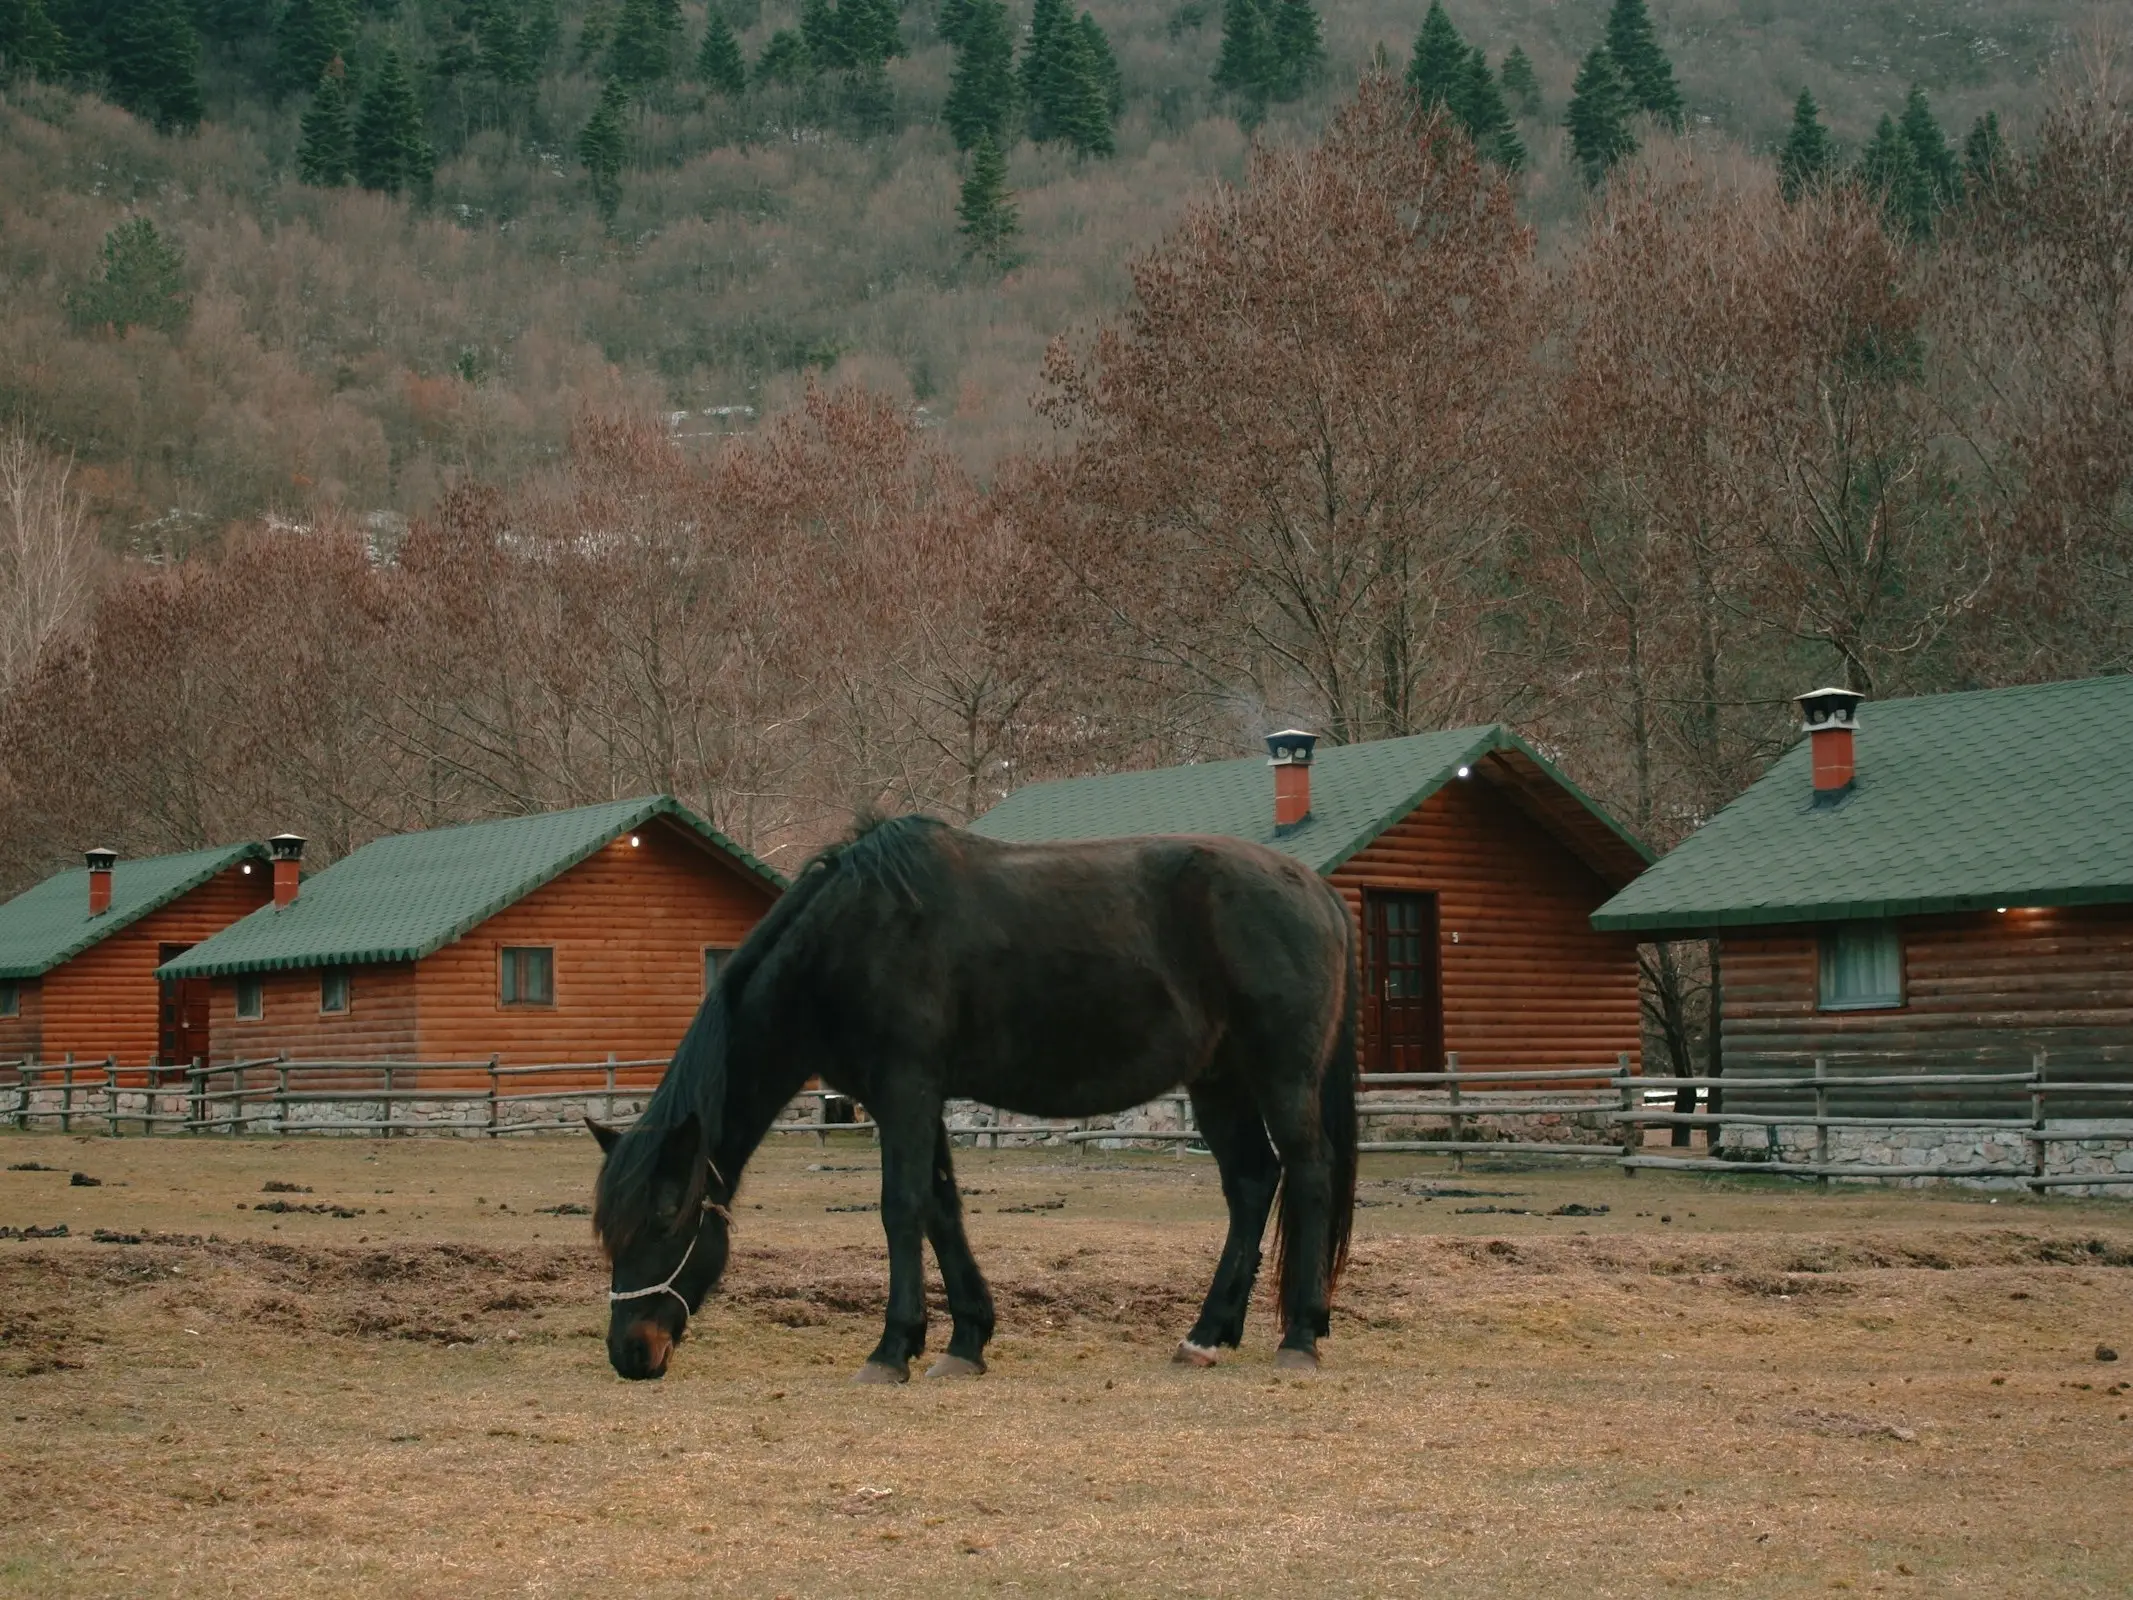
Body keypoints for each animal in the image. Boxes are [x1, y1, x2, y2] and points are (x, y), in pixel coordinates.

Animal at [588, 819, 1348, 1382]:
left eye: (665, 1221)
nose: (631, 1352)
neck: (850, 941)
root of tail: (1314, 889)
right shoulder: (911, 1100)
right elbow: (941, 1207)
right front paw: (965, 1341)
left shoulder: (907, 1090)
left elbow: (902, 1208)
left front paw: (892, 1348)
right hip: (1218, 1080)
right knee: (1252, 1184)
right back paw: (1206, 1334)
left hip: (1279, 1074)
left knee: (1308, 1175)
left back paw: (1300, 1336)